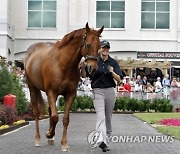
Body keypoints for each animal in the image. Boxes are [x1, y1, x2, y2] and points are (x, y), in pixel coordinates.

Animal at [24, 23, 103, 152]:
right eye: (88, 44)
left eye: (99, 46)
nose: (93, 68)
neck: (63, 64)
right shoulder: (51, 92)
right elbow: (55, 117)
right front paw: (49, 134)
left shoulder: (70, 94)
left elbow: (65, 119)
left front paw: (64, 143)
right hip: (32, 88)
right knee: (36, 112)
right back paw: (38, 139)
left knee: (50, 110)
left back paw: (51, 138)